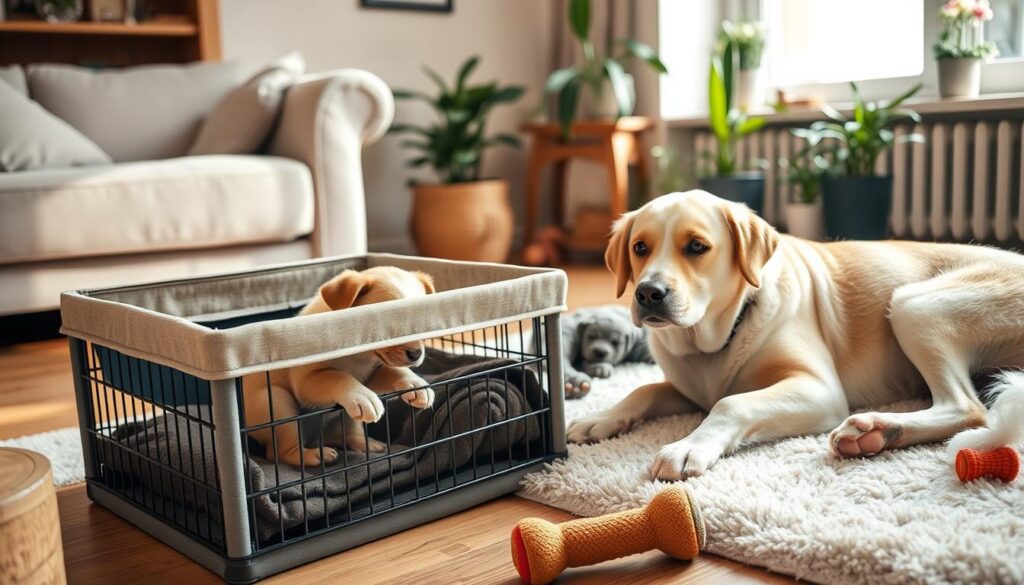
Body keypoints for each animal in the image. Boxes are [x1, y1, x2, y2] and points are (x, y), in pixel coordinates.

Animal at [243, 268, 436, 467]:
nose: (416, 354)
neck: (360, 356)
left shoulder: (371, 374)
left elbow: (395, 370)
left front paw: (416, 384)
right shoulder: (306, 380)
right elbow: (337, 376)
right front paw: (362, 394)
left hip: (345, 416)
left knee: (347, 433)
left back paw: (366, 444)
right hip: (275, 403)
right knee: (279, 452)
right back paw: (314, 454)